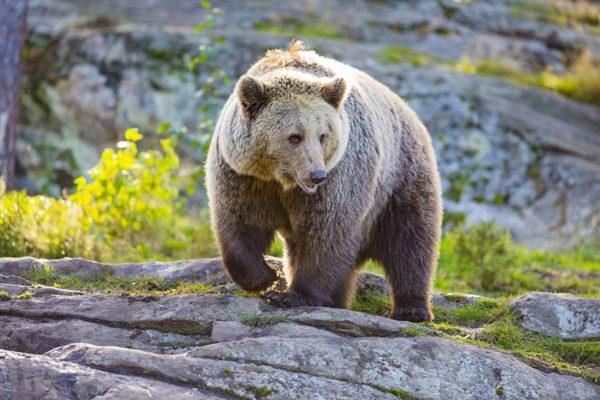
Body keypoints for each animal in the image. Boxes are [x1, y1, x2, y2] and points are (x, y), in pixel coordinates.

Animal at [206, 41, 440, 322]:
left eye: (322, 135)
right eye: (294, 136)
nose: (317, 174)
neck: (282, 180)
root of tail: (411, 112)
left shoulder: (340, 177)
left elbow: (327, 231)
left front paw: (291, 295)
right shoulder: (243, 176)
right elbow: (239, 221)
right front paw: (265, 277)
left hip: (400, 176)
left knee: (409, 238)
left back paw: (412, 308)